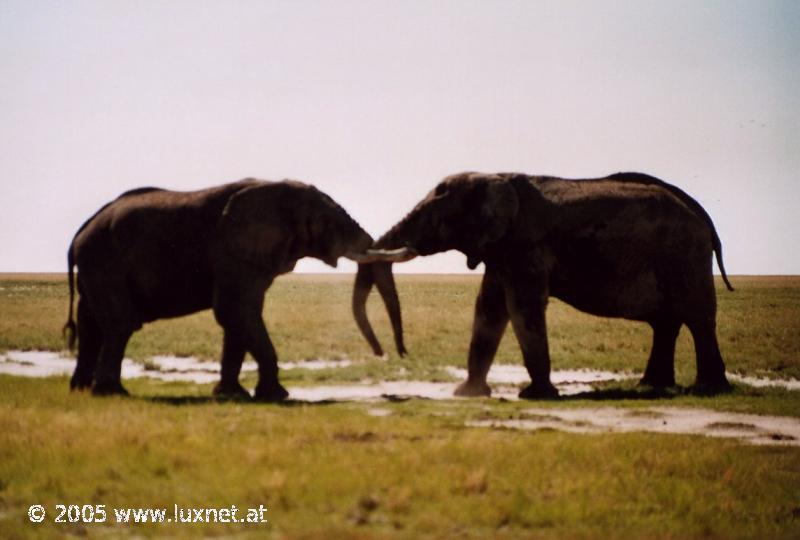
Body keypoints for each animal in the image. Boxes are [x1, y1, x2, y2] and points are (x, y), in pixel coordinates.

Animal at [64, 178, 406, 400]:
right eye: (328, 221)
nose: (385, 354)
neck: (275, 188)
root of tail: (81, 230)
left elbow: (239, 318)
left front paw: (232, 395)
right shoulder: (232, 250)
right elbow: (235, 310)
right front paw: (276, 396)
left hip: (95, 267)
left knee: (91, 323)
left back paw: (81, 389)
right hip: (104, 262)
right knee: (120, 324)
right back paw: (112, 393)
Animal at [354, 171, 736, 398]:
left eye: (436, 218)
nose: (398, 352)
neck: (495, 176)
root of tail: (704, 218)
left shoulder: (527, 244)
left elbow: (522, 305)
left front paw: (534, 396)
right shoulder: (502, 249)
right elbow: (488, 307)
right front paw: (468, 394)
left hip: (685, 256)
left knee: (698, 318)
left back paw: (708, 390)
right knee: (667, 323)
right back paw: (652, 386)